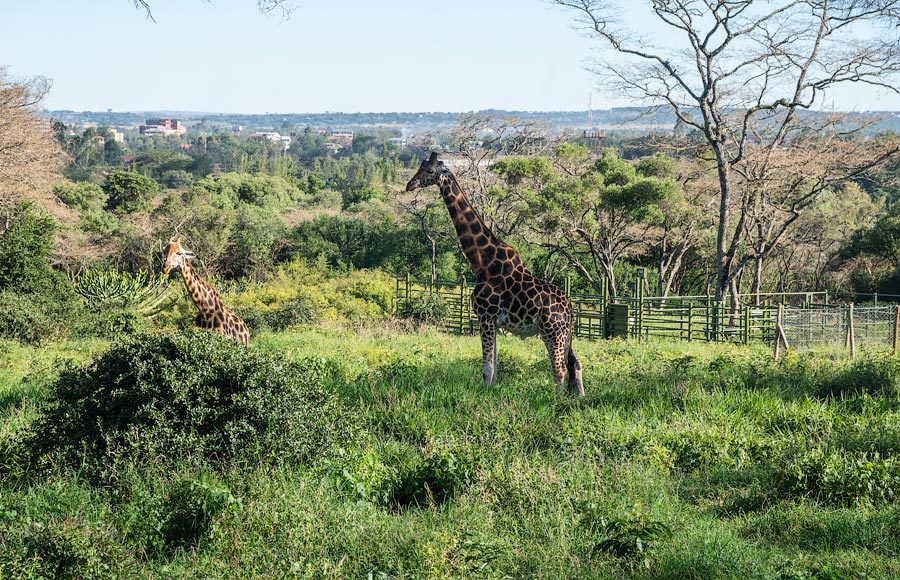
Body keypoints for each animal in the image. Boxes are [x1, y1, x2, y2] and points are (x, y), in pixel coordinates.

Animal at [406, 152, 584, 396]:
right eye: (420, 167)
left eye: (430, 171)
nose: (409, 185)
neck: (482, 262)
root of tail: (570, 308)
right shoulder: (492, 321)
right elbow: (495, 367)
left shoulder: (486, 316)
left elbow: (487, 368)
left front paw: (485, 396)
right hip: (566, 334)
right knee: (575, 363)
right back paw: (578, 398)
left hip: (552, 331)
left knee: (560, 369)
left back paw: (557, 400)